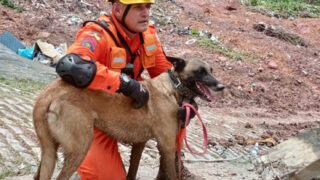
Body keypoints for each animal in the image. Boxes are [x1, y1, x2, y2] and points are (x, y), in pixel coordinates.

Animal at [31, 56, 222, 180]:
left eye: (212, 71)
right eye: (200, 72)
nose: (222, 86)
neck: (173, 87)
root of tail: (49, 92)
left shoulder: (141, 144)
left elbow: (133, 172)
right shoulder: (167, 147)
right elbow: (171, 175)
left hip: (50, 150)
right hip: (80, 148)